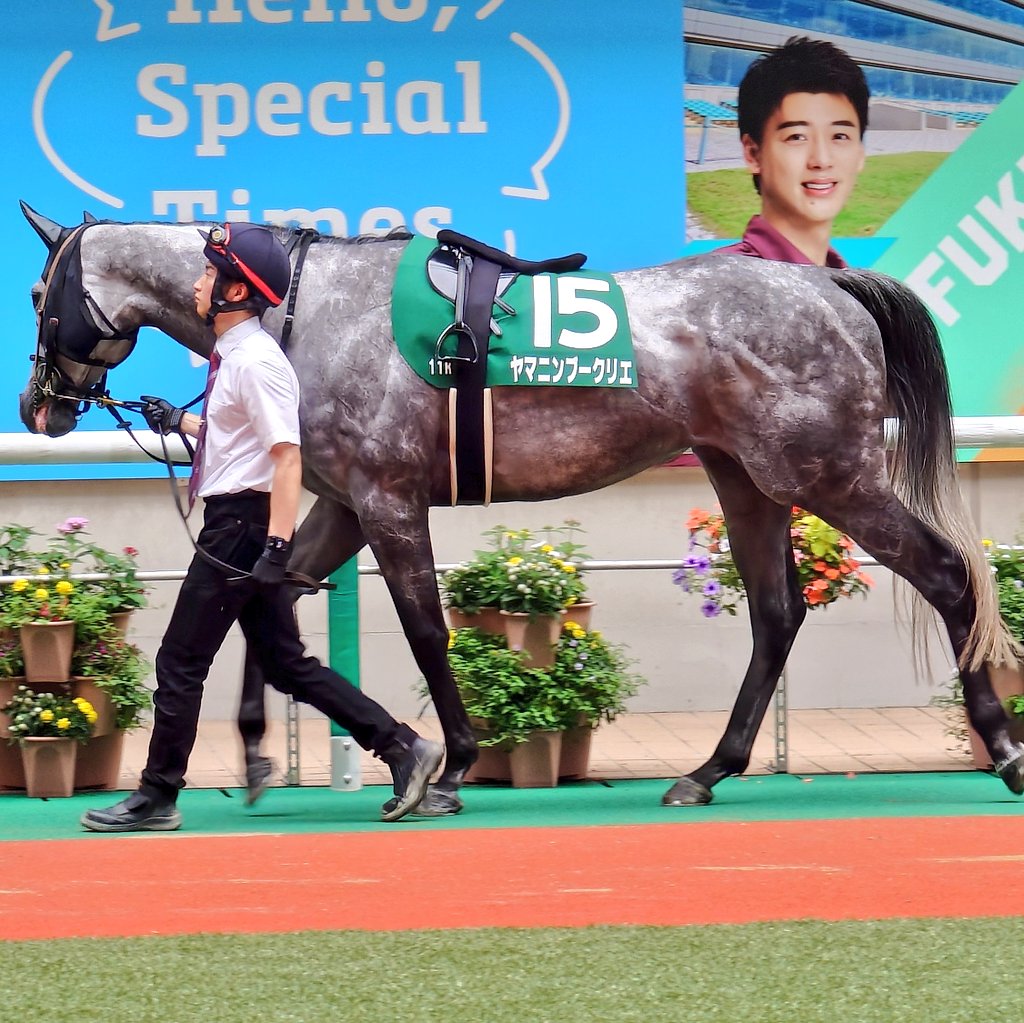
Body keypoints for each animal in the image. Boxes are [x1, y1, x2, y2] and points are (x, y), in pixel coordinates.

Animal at [17, 201, 1024, 814]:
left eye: (35, 291)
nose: (37, 408)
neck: (306, 306)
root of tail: (826, 283)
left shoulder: (387, 498)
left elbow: (424, 628)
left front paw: (450, 761)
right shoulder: (340, 502)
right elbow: (266, 601)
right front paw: (264, 756)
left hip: (830, 474)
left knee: (947, 573)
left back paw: (1004, 749)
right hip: (749, 478)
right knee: (778, 613)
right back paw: (706, 771)